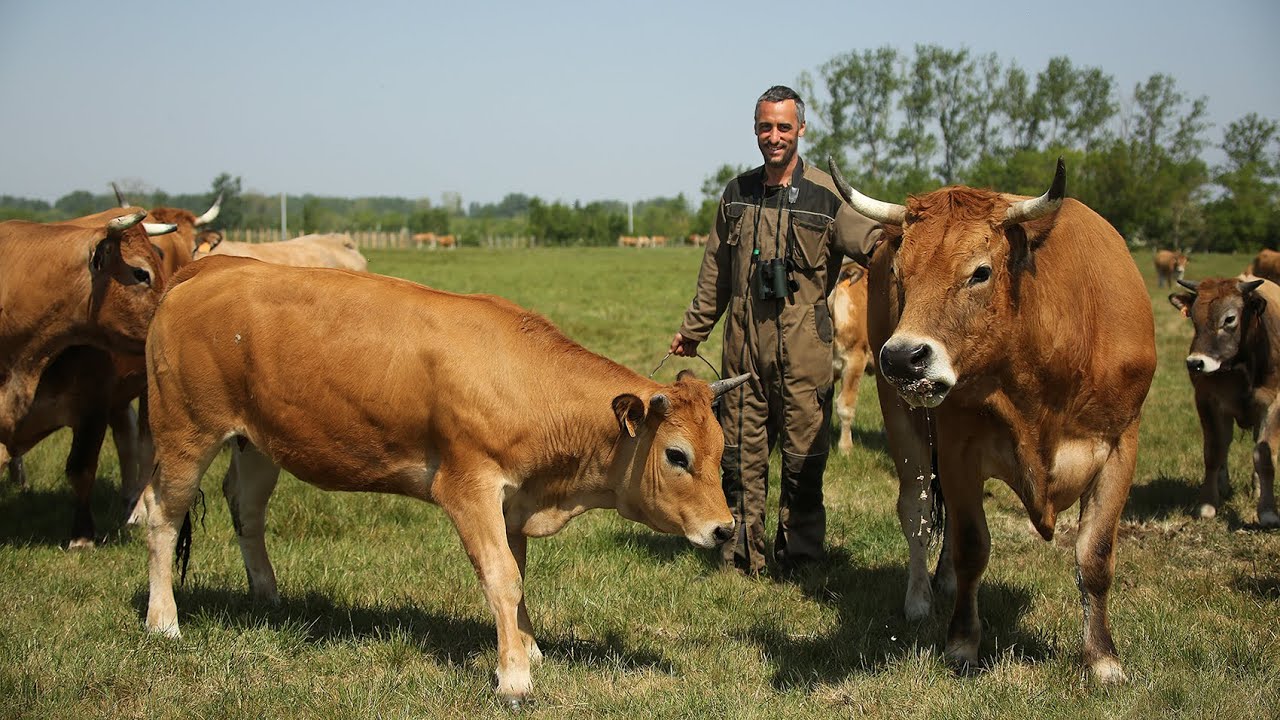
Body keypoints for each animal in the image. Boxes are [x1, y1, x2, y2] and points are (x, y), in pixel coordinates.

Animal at [140, 256, 745, 705]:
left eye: (721, 450)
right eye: (676, 455)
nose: (725, 529)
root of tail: (211, 267)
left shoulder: (513, 501)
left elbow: (517, 575)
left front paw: (527, 645)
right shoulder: (468, 489)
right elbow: (501, 576)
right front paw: (514, 676)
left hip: (258, 442)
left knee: (246, 511)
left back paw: (267, 594)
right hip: (185, 432)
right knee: (161, 517)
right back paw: (163, 621)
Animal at [830, 158, 1156, 684]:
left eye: (980, 272)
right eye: (900, 273)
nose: (902, 358)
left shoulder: (1121, 444)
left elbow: (1096, 555)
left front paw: (1103, 658)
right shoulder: (957, 447)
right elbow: (970, 547)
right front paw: (962, 643)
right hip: (902, 416)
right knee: (917, 510)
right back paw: (920, 597)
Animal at [1168, 277, 1280, 528]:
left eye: (1229, 319)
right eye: (1194, 317)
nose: (1195, 363)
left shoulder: (1273, 404)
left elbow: (1264, 454)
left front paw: (1268, 511)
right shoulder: (1208, 401)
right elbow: (1214, 451)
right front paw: (1208, 504)